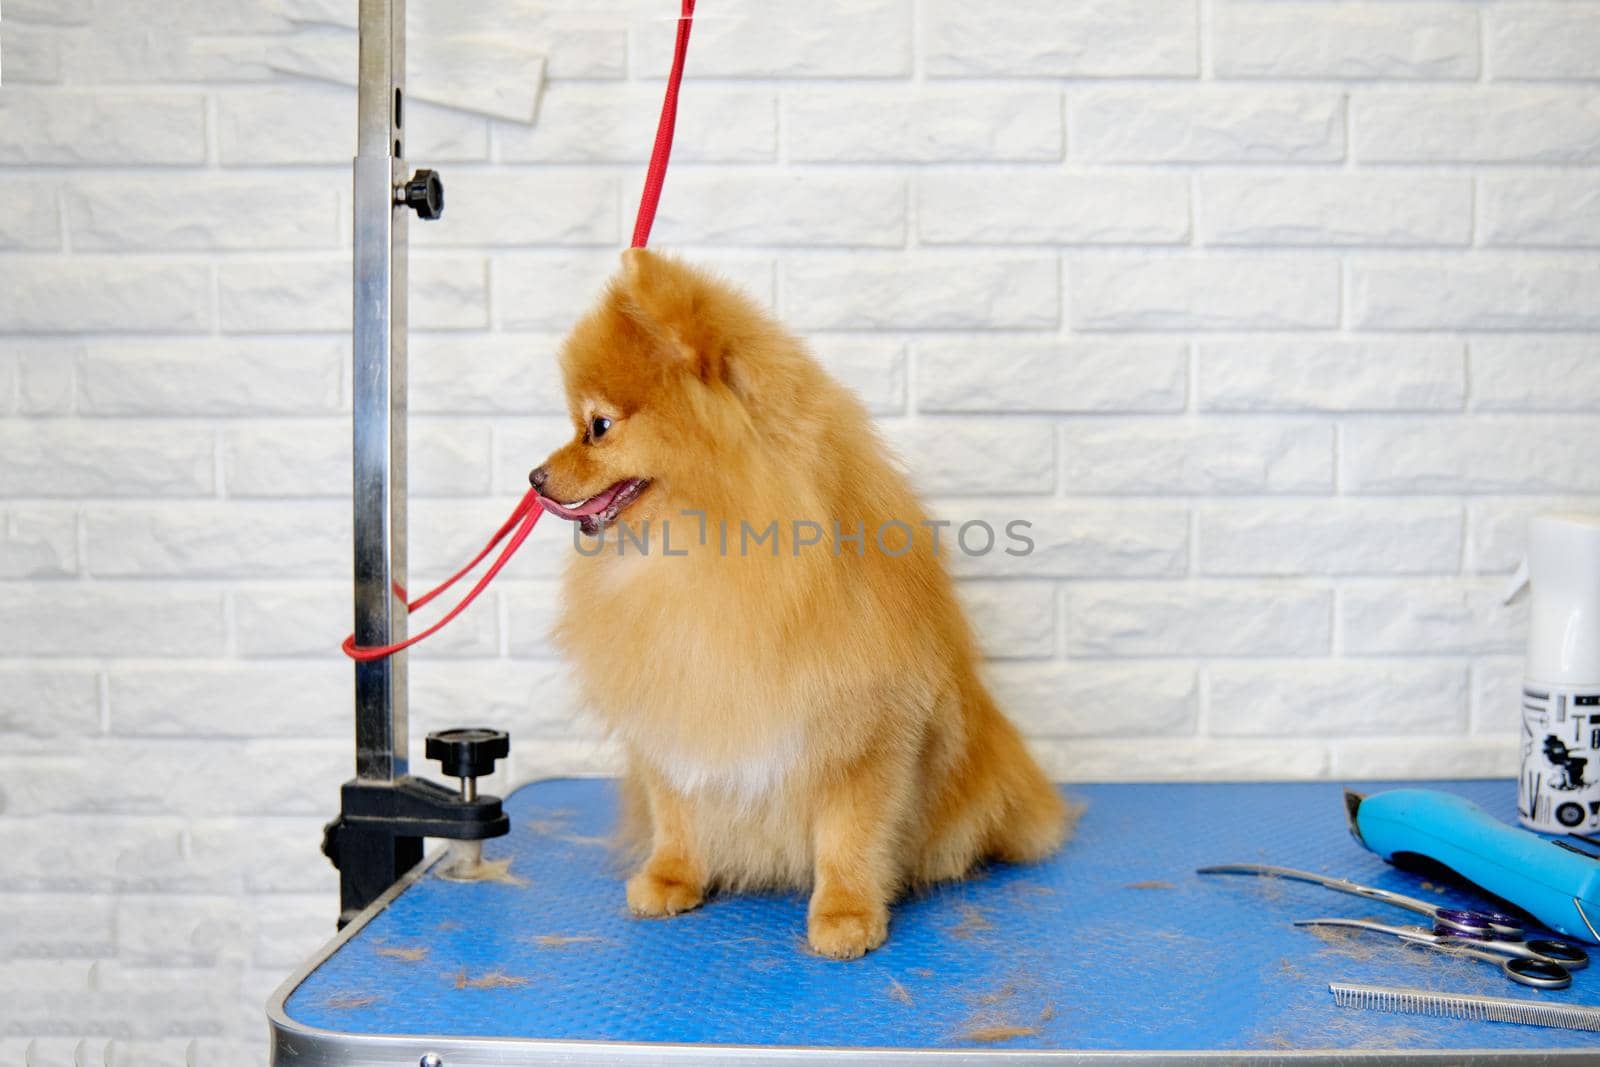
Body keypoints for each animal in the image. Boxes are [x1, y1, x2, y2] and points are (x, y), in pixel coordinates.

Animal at [531, 247, 1068, 959]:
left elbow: (849, 834)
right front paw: (672, 877)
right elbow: (675, 809)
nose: (534, 478)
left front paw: (845, 914)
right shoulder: (674, 707)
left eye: (598, 427)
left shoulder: (864, 729)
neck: (701, 551)